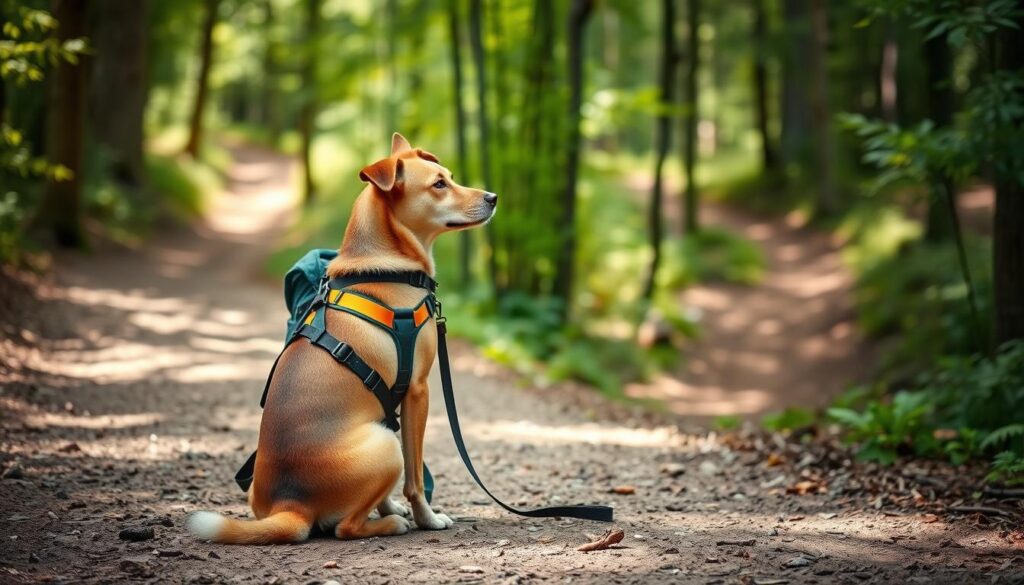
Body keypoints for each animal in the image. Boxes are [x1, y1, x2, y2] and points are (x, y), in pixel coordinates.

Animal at [189, 133, 499, 545]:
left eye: (449, 176)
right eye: (438, 184)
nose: (493, 197)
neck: (383, 266)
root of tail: (292, 506)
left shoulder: (391, 407)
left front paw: (394, 508)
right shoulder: (418, 391)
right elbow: (415, 478)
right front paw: (427, 518)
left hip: (373, 434)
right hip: (386, 446)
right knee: (344, 528)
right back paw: (389, 525)